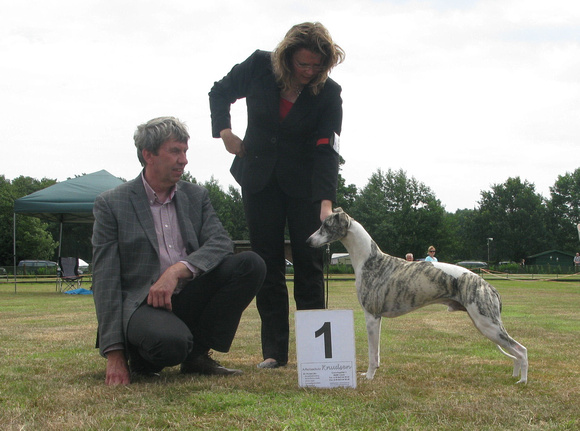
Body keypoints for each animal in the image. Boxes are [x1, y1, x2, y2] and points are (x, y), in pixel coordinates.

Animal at [310, 209, 528, 384]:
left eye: (325, 225)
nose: (308, 241)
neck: (369, 260)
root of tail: (488, 286)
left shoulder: (371, 316)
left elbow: (372, 353)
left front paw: (369, 376)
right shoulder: (377, 319)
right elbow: (377, 352)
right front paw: (372, 373)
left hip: (487, 324)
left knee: (521, 350)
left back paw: (523, 381)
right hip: (484, 323)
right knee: (516, 351)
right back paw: (515, 376)